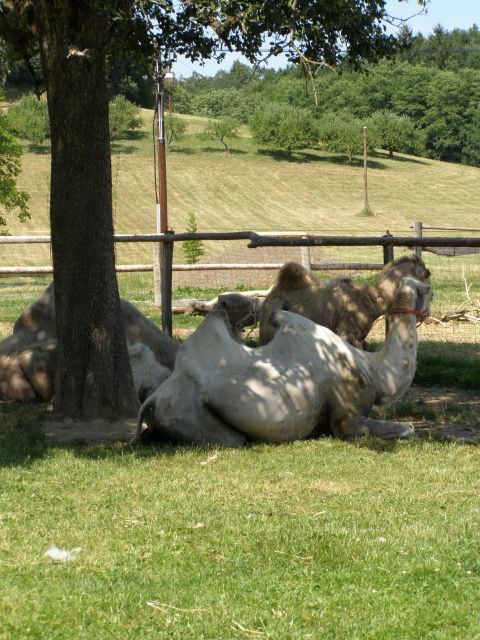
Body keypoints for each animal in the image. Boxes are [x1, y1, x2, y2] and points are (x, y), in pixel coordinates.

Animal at [136, 276, 436, 444]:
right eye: (423, 289)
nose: (431, 288)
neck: (374, 369)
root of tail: (155, 397)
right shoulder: (348, 411)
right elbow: (407, 428)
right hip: (187, 407)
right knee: (233, 438)